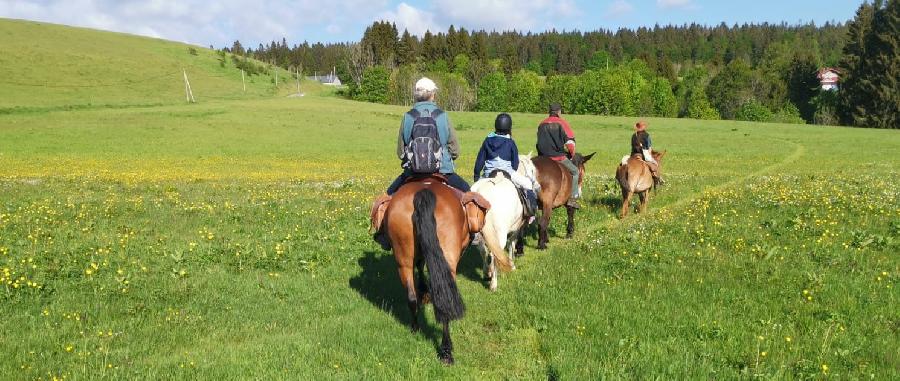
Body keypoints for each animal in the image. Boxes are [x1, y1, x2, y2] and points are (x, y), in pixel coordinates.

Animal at [384, 177, 488, 364]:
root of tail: (422, 193)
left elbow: (420, 265)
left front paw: (424, 291)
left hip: (403, 259)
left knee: (411, 297)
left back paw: (415, 328)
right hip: (448, 258)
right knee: (444, 301)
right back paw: (446, 351)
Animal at [468, 153, 536, 290]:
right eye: (532, 170)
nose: (536, 184)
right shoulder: (516, 229)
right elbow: (511, 244)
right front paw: (512, 265)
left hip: (478, 233)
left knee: (483, 250)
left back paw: (486, 273)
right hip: (500, 234)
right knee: (495, 254)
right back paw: (493, 284)